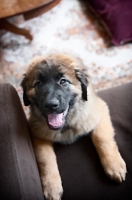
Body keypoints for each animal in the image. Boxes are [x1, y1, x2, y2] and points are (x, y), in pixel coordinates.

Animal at [21, 53, 126, 200]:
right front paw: (51, 187)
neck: (66, 125)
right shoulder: (37, 134)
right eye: (38, 84)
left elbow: (102, 139)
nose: (51, 105)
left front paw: (114, 166)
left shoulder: (100, 111)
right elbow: (45, 159)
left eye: (63, 81)